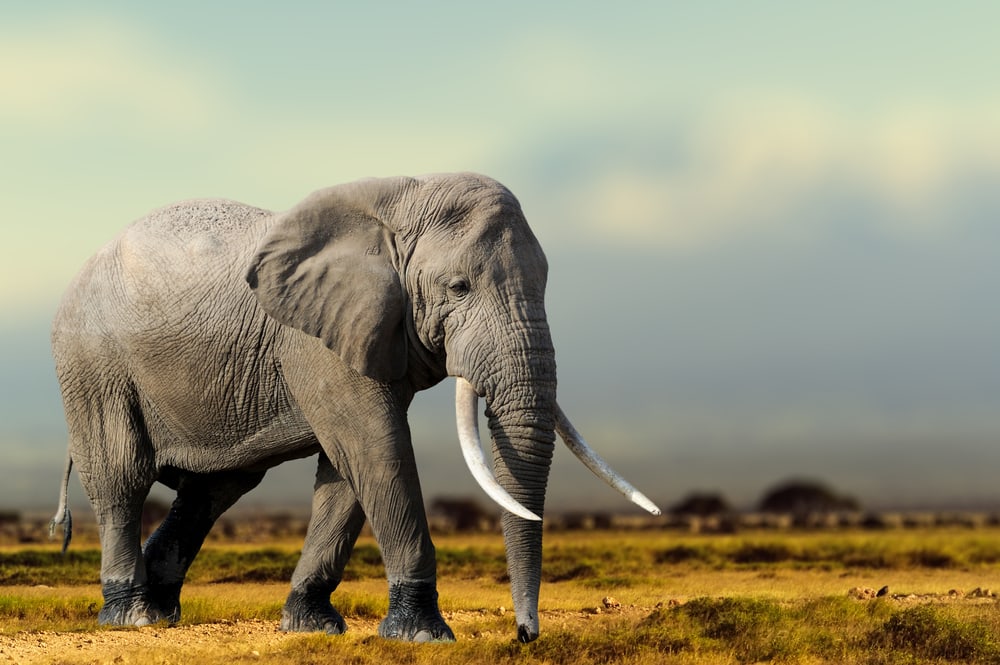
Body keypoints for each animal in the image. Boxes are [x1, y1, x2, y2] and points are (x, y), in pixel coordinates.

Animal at [48, 172, 659, 643]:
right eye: (459, 287)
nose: (525, 635)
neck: (402, 199)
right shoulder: (317, 339)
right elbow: (375, 446)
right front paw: (422, 635)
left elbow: (347, 470)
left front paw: (311, 626)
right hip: (93, 362)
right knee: (123, 475)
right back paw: (133, 617)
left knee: (215, 488)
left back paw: (162, 610)